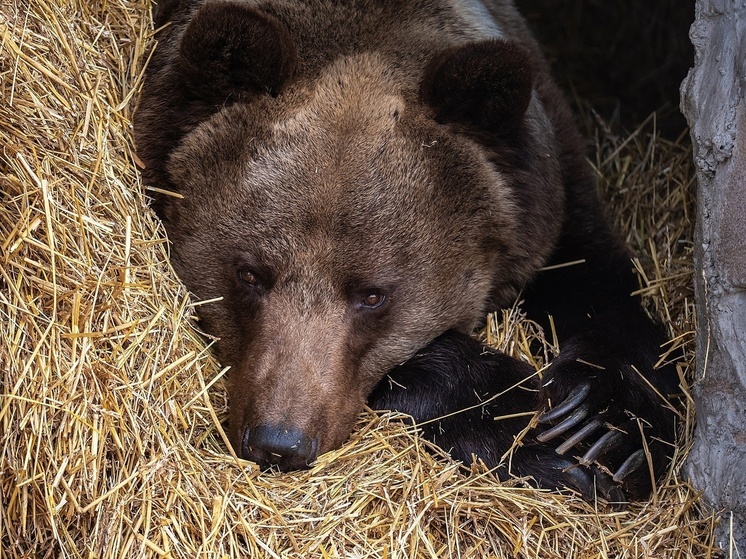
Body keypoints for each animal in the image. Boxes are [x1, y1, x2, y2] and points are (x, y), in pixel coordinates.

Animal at [134, 0, 676, 504]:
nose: (279, 440)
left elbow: (598, 286)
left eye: (373, 295)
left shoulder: (548, 190)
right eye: (249, 274)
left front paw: (600, 430)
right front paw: (539, 435)